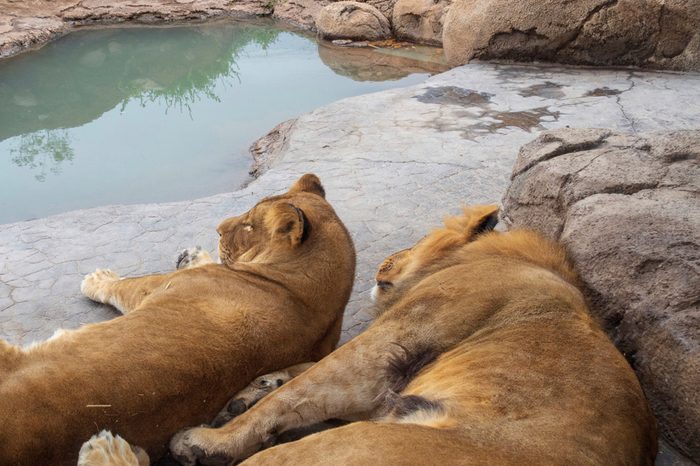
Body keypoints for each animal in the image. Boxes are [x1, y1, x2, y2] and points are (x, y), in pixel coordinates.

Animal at [0, 174, 356, 466]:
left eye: (249, 226)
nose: (218, 228)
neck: (296, 292)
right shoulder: (323, 348)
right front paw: (193, 254)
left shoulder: (160, 287)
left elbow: (125, 285)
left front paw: (98, 278)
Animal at [170, 204, 657, 465]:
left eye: (417, 239)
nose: (385, 258)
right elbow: (300, 372)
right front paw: (255, 387)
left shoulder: (389, 346)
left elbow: (300, 387)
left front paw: (209, 441)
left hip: (352, 443)